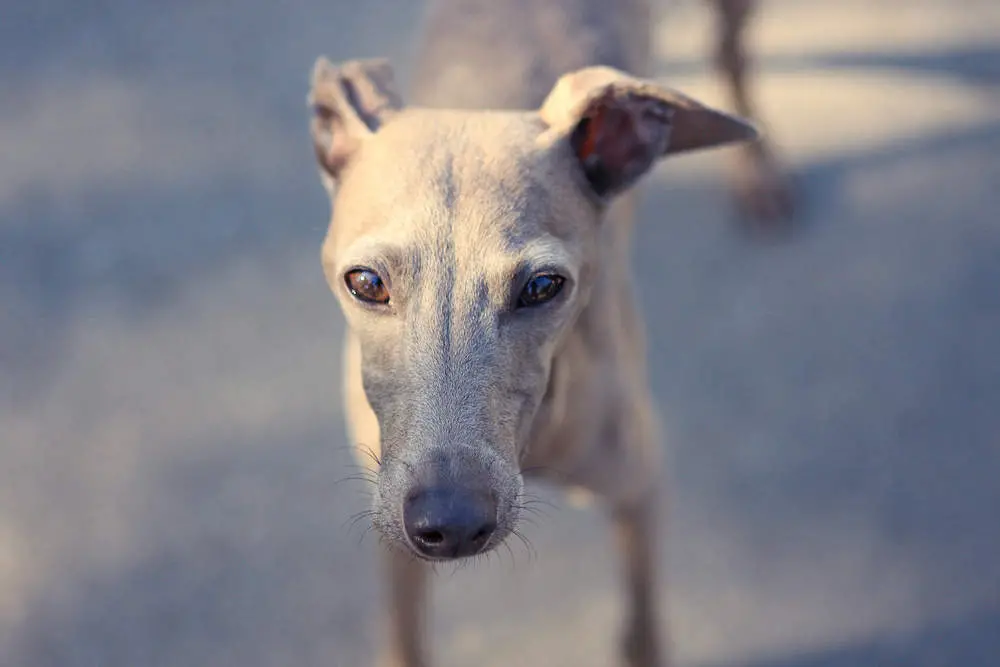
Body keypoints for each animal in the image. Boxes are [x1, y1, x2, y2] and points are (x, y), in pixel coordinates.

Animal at [308, 1, 784, 664]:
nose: (451, 524)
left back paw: (759, 175)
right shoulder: (387, 516)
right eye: (366, 282)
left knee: (731, 51)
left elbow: (642, 629)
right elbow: (404, 635)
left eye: (542, 286)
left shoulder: (639, 483)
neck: (530, 443)